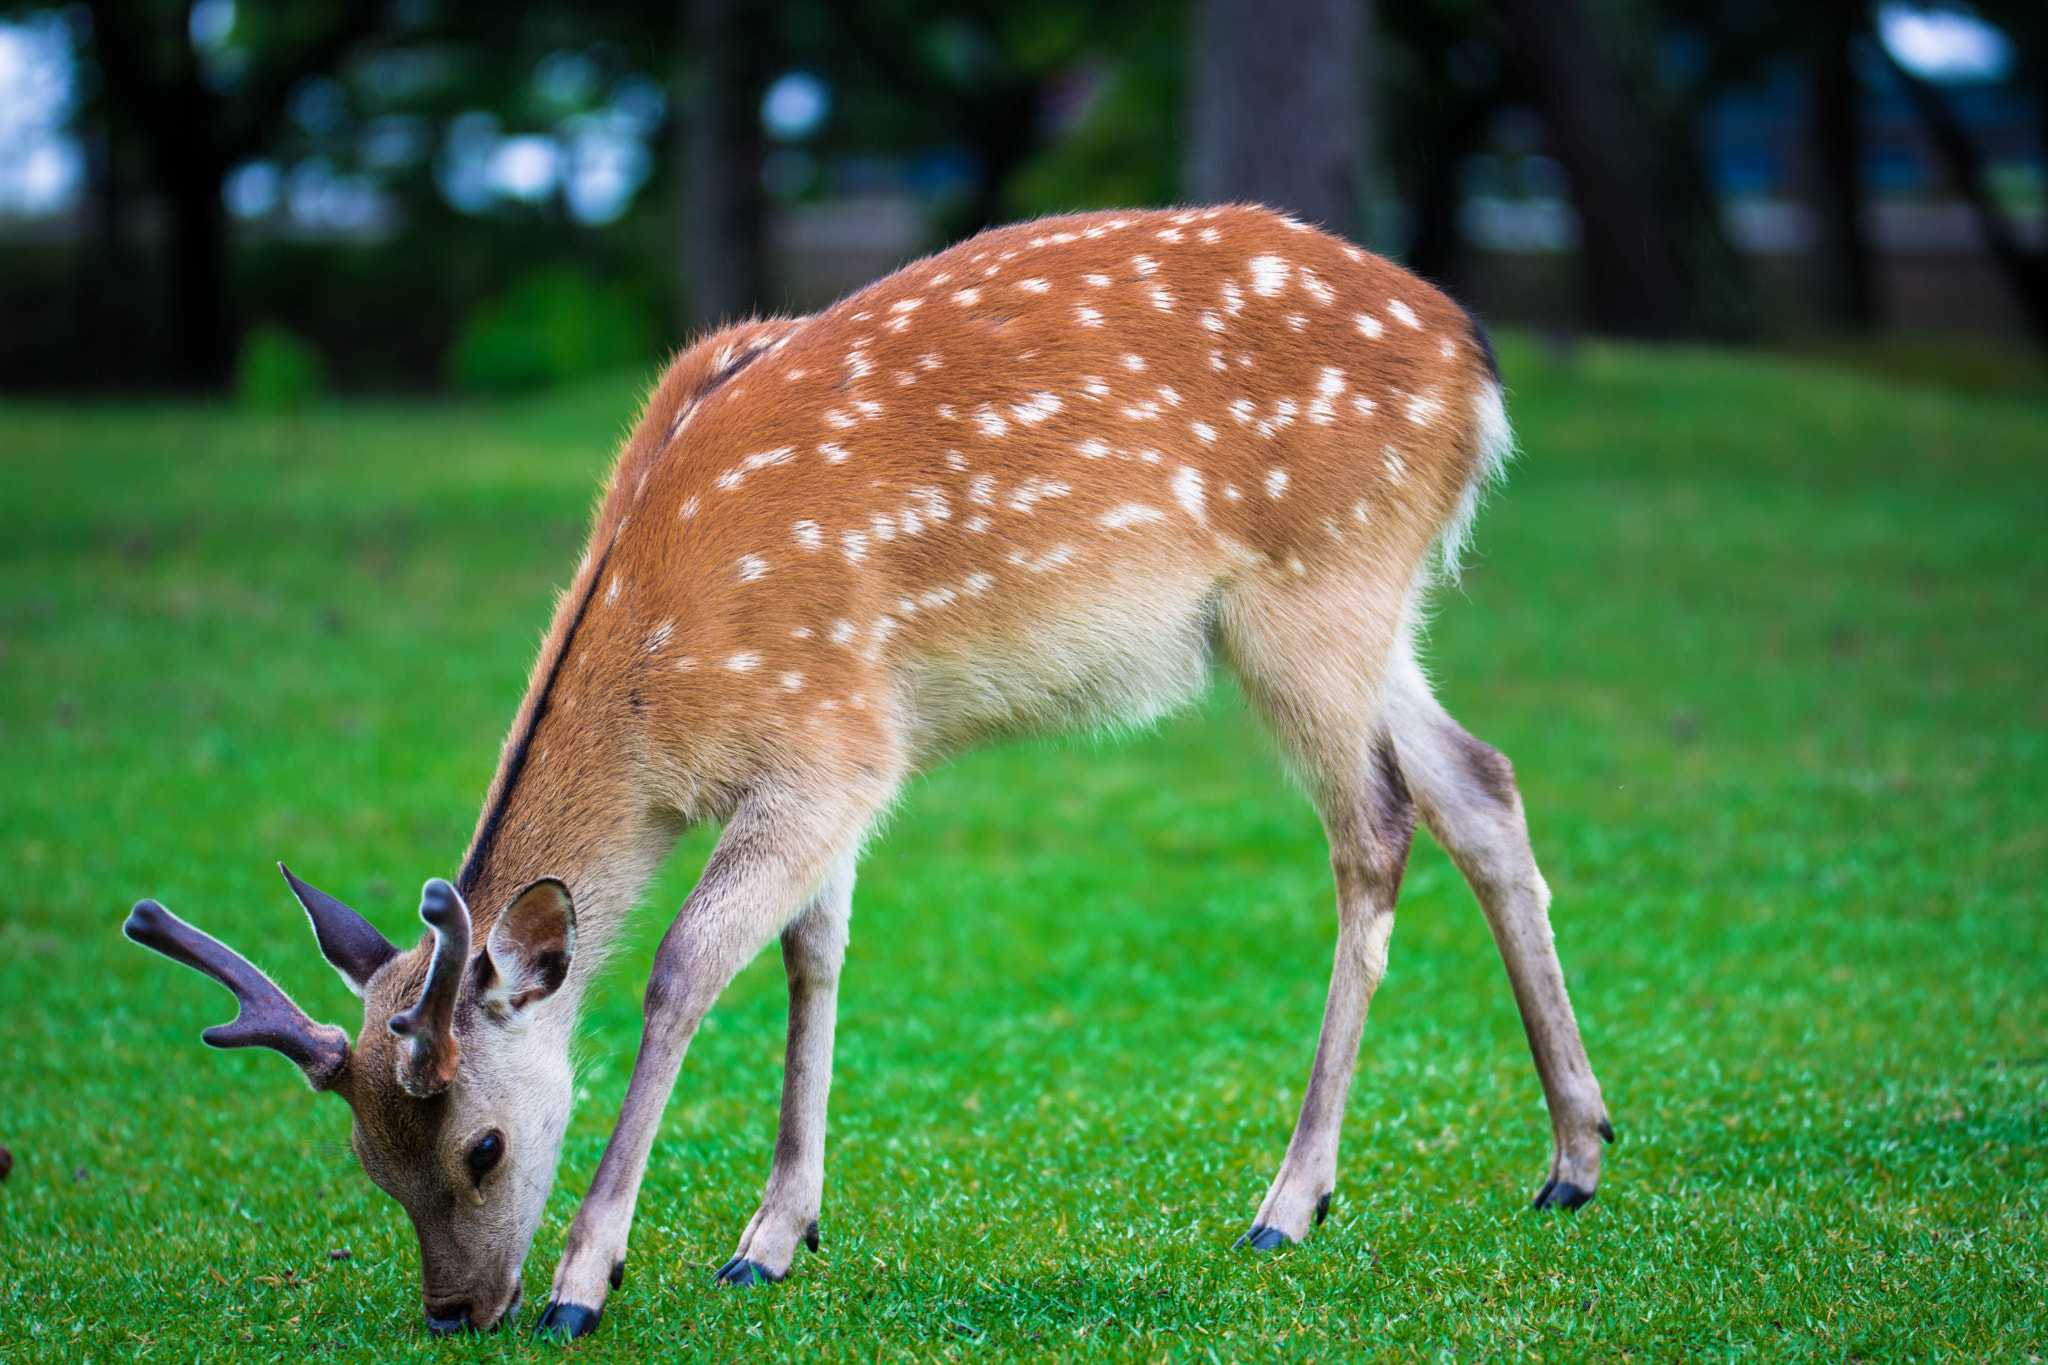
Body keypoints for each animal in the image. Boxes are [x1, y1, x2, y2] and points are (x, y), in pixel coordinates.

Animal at [123, 202, 1613, 1334]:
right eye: (368, 1161)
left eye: (479, 1146)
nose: (452, 1310)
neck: (657, 675)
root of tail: (1476, 363)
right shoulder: (830, 769)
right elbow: (812, 954)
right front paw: (774, 1234)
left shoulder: (828, 742)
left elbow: (687, 966)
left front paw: (588, 1276)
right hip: (1371, 608)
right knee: (1480, 781)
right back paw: (1573, 1156)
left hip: (1311, 587)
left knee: (1377, 826)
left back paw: (1289, 1202)